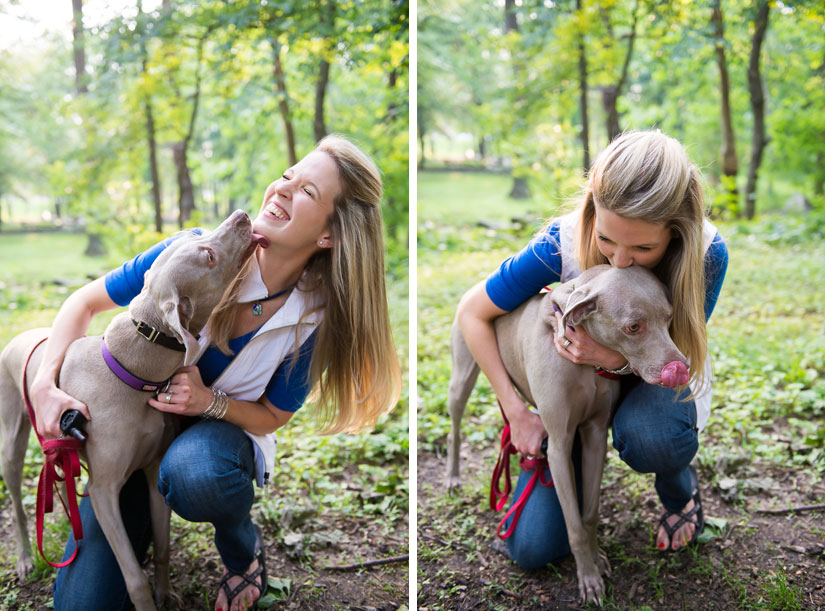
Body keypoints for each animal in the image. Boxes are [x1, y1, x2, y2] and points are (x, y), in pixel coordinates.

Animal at [0, 212, 266, 611]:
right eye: (207, 255)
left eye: (197, 238)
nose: (242, 216)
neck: (132, 372)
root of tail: (21, 335)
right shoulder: (105, 491)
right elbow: (133, 577)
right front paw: (148, 599)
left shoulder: (154, 470)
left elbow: (163, 547)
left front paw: (166, 594)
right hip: (12, 440)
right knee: (17, 502)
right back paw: (26, 558)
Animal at [444, 266, 688, 604]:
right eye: (633, 327)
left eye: (668, 318)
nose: (681, 367)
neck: (586, 365)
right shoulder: (559, 446)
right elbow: (573, 524)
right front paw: (588, 578)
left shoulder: (595, 435)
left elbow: (590, 513)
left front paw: (596, 558)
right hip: (463, 373)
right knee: (454, 427)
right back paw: (453, 477)